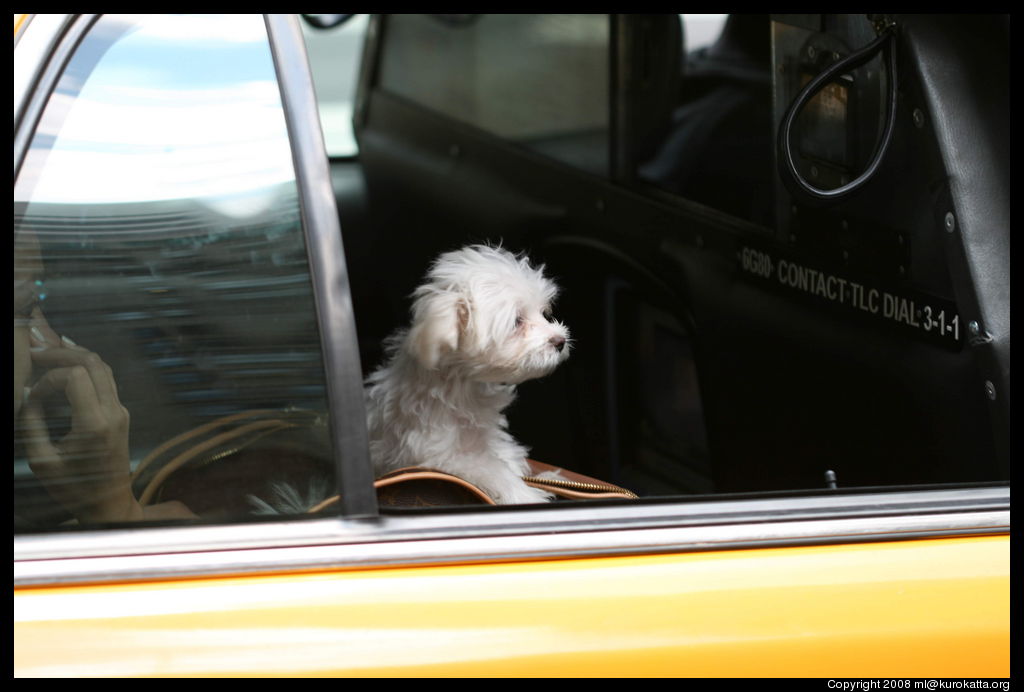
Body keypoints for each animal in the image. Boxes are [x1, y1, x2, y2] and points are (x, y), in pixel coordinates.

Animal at [366, 244, 573, 503]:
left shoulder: (488, 437)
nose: (560, 341)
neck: (462, 389)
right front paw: (528, 496)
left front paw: (546, 479)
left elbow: (509, 458)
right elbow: (497, 471)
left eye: (543, 312)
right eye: (517, 321)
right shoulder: (442, 455)